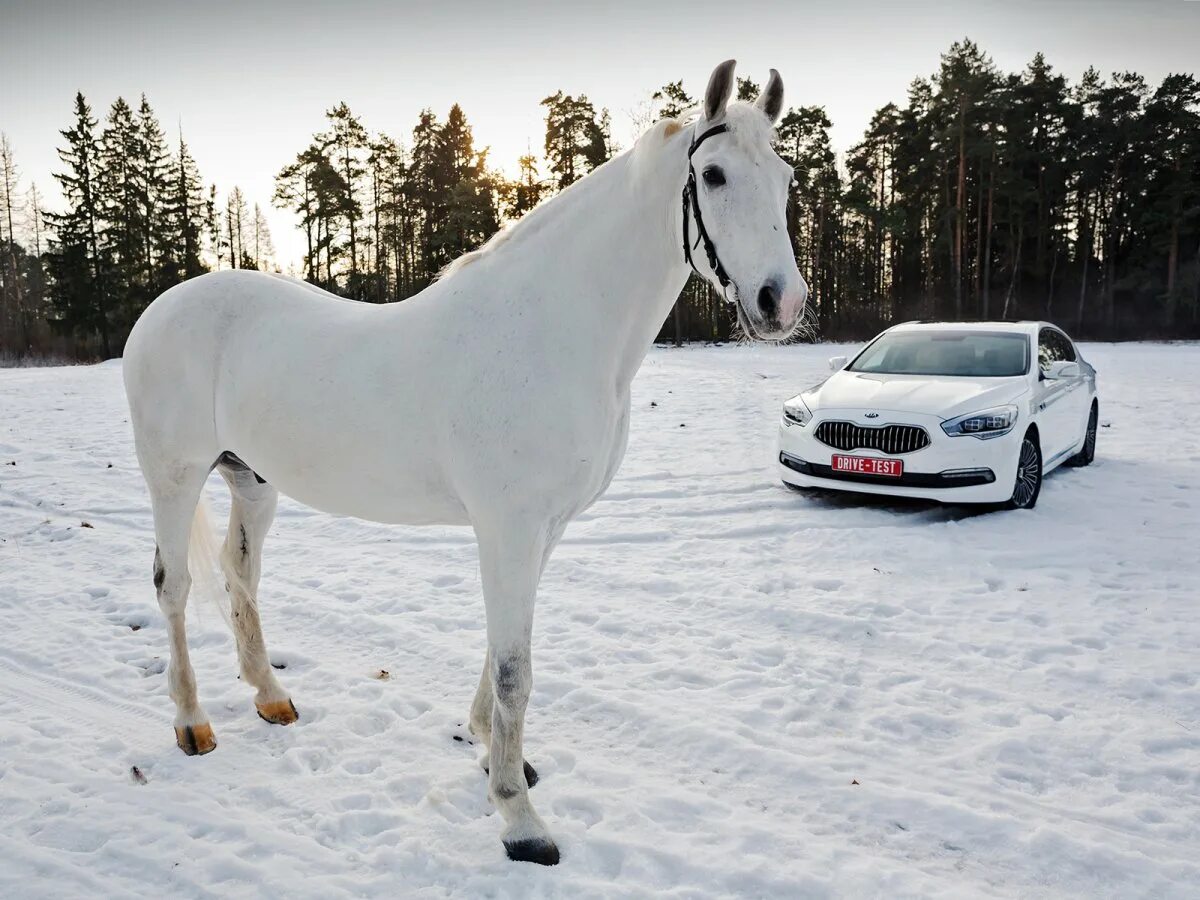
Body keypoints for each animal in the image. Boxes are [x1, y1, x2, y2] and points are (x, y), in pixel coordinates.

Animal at [121, 61, 806, 868]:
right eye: (715, 173)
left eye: (786, 177)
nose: (782, 301)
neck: (552, 330)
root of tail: (162, 308)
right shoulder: (507, 528)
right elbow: (515, 670)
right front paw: (519, 819)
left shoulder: (542, 529)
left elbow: (504, 653)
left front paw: (493, 753)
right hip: (174, 476)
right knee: (173, 586)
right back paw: (191, 722)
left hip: (251, 480)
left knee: (239, 574)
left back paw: (268, 697)